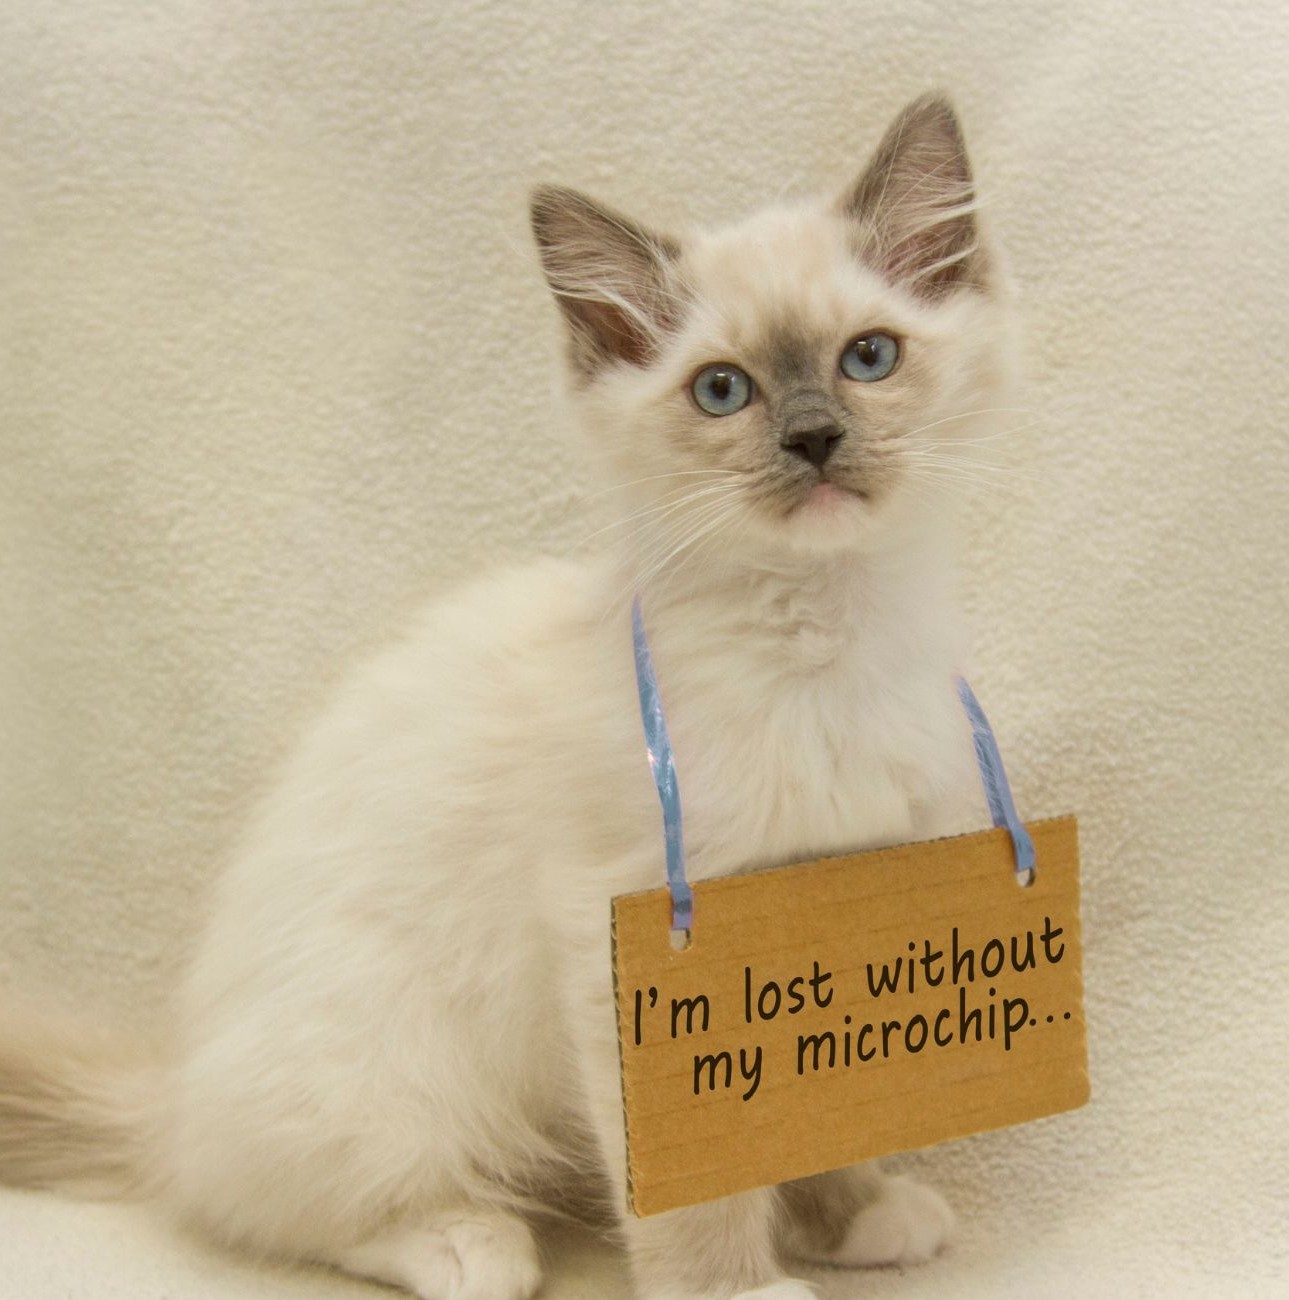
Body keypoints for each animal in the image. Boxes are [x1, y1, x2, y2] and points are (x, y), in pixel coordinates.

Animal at [0, 94, 1018, 1300]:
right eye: (723, 389)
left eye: (868, 358)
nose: (813, 439)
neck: (822, 640)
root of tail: (176, 1088)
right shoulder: (627, 926)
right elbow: (696, 1176)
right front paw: (734, 1287)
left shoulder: (834, 909)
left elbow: (808, 1118)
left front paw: (847, 1215)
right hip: (387, 1069)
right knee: (268, 1207)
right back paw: (468, 1242)